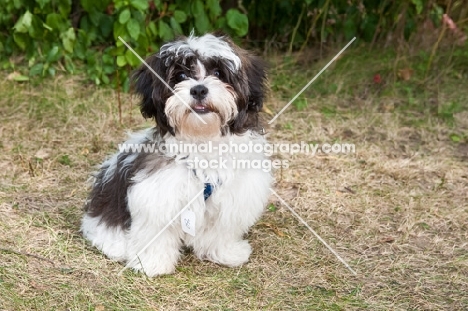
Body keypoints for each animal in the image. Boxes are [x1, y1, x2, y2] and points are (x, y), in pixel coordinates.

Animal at [80, 33, 270, 278]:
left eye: (219, 73)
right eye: (180, 76)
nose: (198, 89)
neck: (201, 142)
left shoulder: (234, 193)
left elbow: (221, 227)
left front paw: (225, 252)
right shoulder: (157, 193)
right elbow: (155, 231)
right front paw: (152, 263)